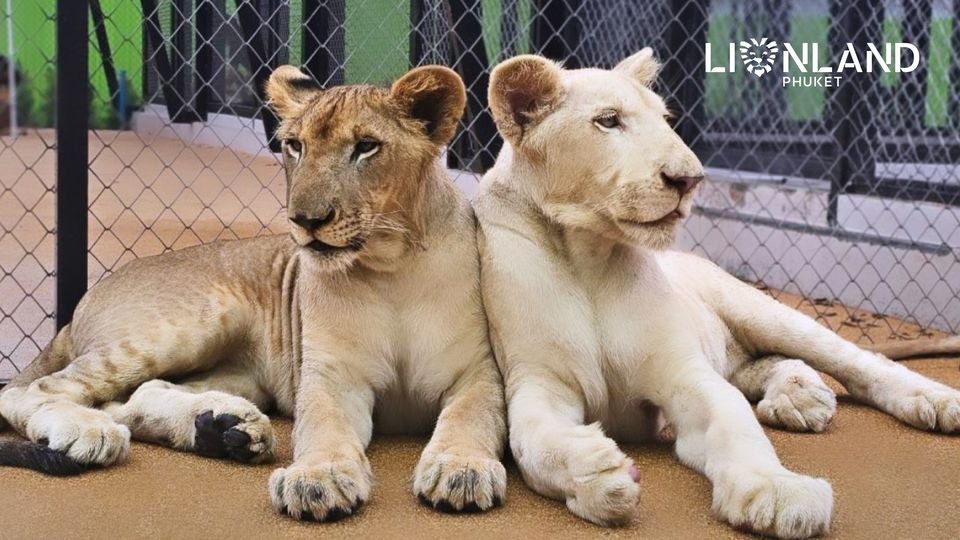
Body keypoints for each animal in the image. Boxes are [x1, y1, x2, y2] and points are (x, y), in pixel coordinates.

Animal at [0, 65, 507, 521]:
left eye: (366, 147)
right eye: (295, 145)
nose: (305, 220)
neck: (391, 270)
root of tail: (79, 306)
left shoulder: (477, 374)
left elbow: (469, 418)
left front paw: (462, 470)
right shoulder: (331, 379)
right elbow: (322, 428)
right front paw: (316, 478)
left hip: (239, 370)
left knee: (138, 393)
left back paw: (223, 429)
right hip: (196, 322)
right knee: (34, 389)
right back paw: (90, 432)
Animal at [473, 49, 960, 538]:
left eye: (665, 118)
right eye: (608, 120)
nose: (690, 179)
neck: (588, 256)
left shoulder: (682, 373)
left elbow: (733, 421)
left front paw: (776, 492)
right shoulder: (537, 379)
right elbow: (532, 439)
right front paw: (597, 473)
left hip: (765, 312)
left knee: (860, 362)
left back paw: (935, 402)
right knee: (764, 364)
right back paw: (800, 398)